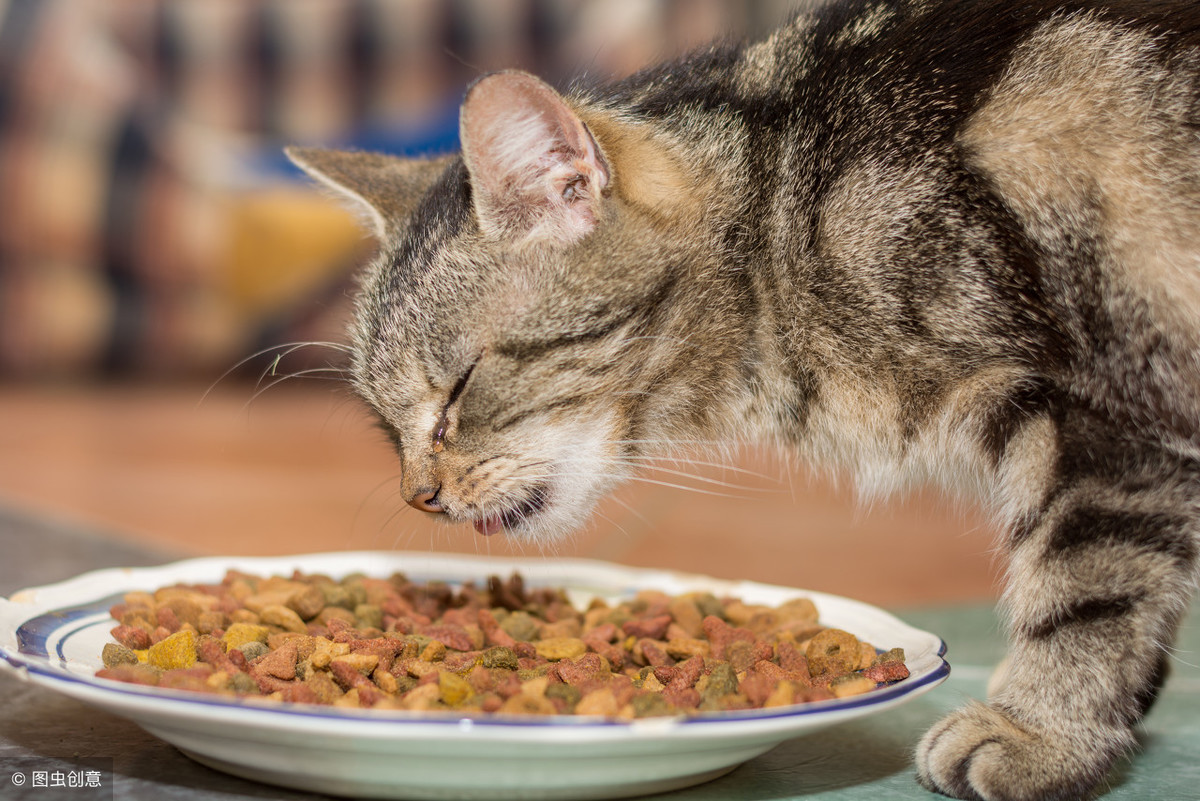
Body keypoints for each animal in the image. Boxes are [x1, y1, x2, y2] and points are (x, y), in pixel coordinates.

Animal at [288, 1, 1200, 801]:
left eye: (458, 390)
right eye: (386, 423)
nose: (420, 496)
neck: (789, 215)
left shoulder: (1107, 423)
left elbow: (1088, 594)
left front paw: (1041, 732)